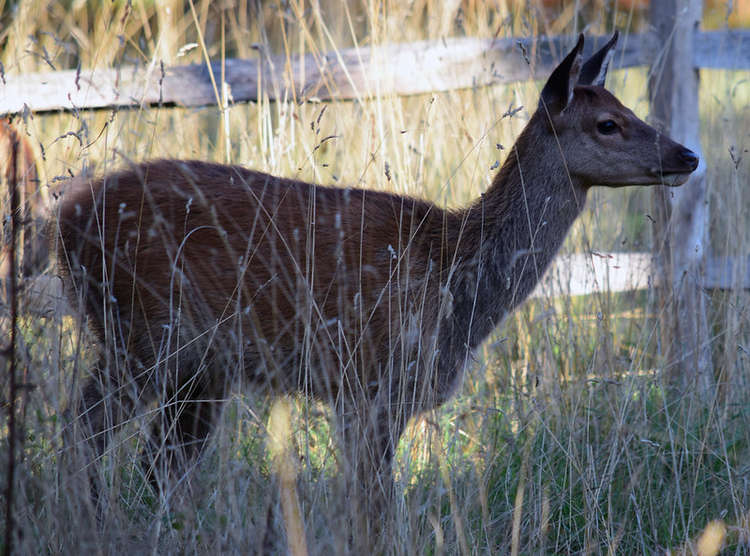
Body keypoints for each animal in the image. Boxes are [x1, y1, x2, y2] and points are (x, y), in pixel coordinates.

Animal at [54, 31, 700, 540]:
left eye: (629, 107)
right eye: (608, 123)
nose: (687, 155)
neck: (456, 279)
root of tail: (65, 218)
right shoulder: (372, 382)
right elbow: (374, 508)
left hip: (198, 365)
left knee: (156, 461)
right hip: (144, 331)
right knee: (85, 430)